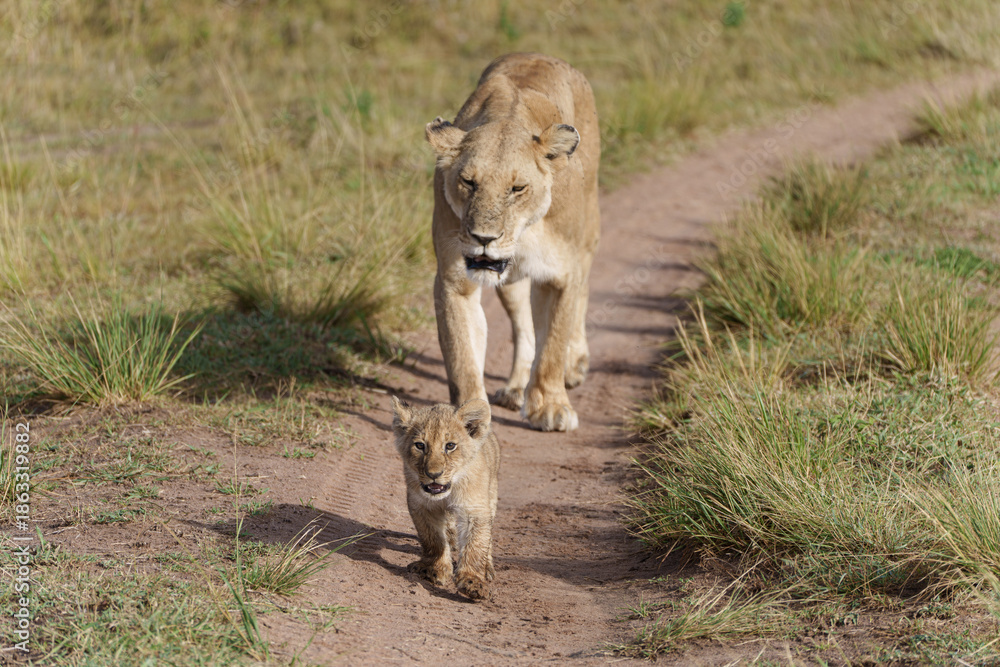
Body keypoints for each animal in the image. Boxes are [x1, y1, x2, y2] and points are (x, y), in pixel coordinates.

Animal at [391, 396, 500, 600]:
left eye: (450, 446)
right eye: (420, 445)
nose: (434, 474)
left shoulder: (475, 509)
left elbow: (475, 545)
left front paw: (472, 581)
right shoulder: (421, 506)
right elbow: (433, 539)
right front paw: (435, 569)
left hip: (491, 494)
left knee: (487, 536)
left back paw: (487, 567)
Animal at [426, 52, 600, 432]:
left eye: (517, 188)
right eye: (468, 182)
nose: (484, 238)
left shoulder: (560, 275)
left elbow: (553, 343)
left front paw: (551, 408)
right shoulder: (454, 280)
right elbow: (462, 355)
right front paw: (468, 417)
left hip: (588, 234)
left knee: (583, 292)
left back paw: (576, 362)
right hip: (509, 281)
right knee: (524, 326)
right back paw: (517, 387)